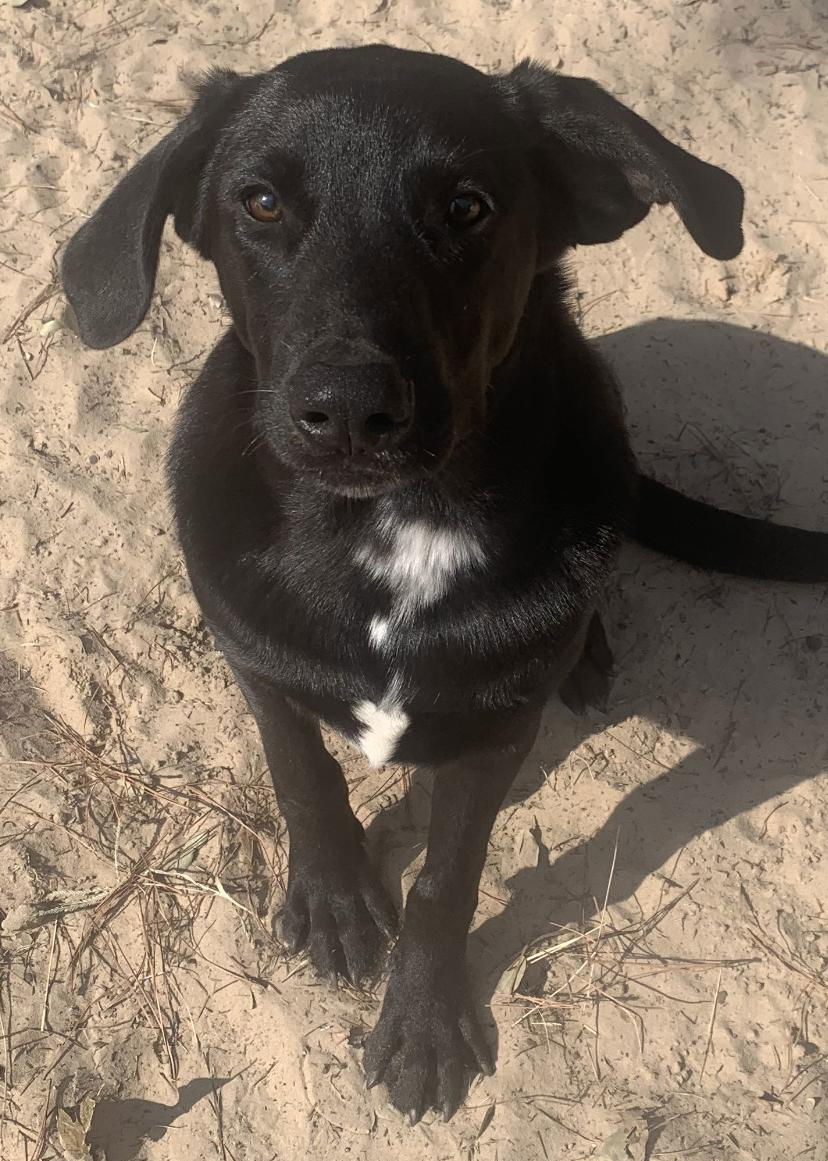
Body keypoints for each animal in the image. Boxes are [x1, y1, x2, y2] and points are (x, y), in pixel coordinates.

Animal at [59, 47, 826, 1123]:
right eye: (260, 203)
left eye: (467, 207)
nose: (348, 410)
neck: (396, 530)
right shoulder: (258, 667)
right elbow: (305, 780)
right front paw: (335, 898)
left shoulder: (494, 734)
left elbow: (446, 882)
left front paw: (422, 1021)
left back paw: (586, 654)